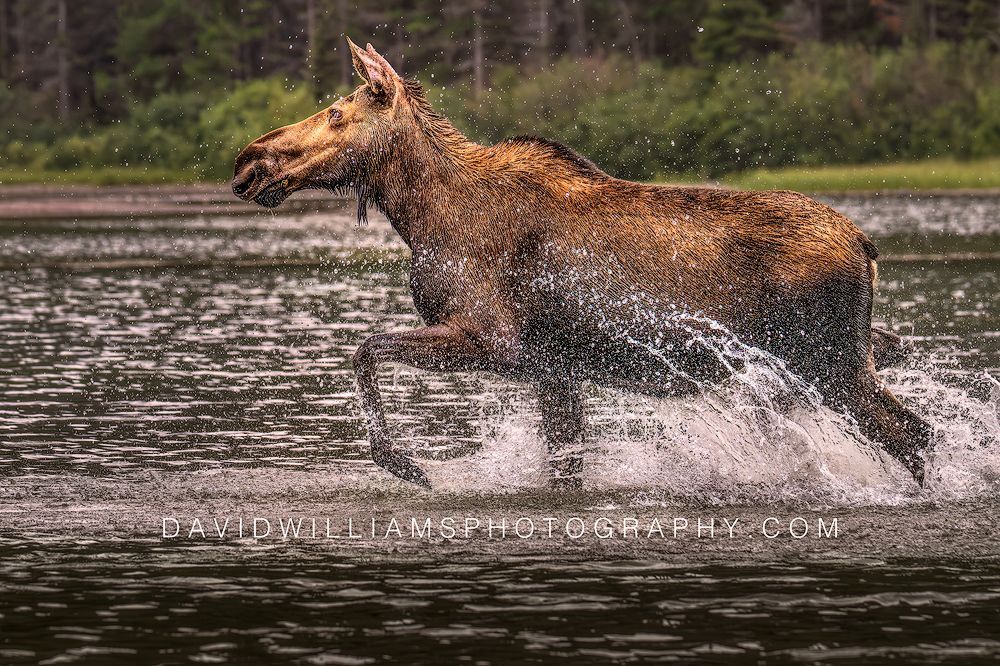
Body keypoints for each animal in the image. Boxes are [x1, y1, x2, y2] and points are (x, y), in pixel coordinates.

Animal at [232, 39, 931, 489]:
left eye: (336, 113)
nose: (248, 160)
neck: (423, 217)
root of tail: (867, 247)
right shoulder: (554, 367)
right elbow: (565, 462)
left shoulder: (499, 342)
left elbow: (365, 349)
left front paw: (406, 464)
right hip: (838, 359)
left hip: (826, 364)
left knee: (913, 435)